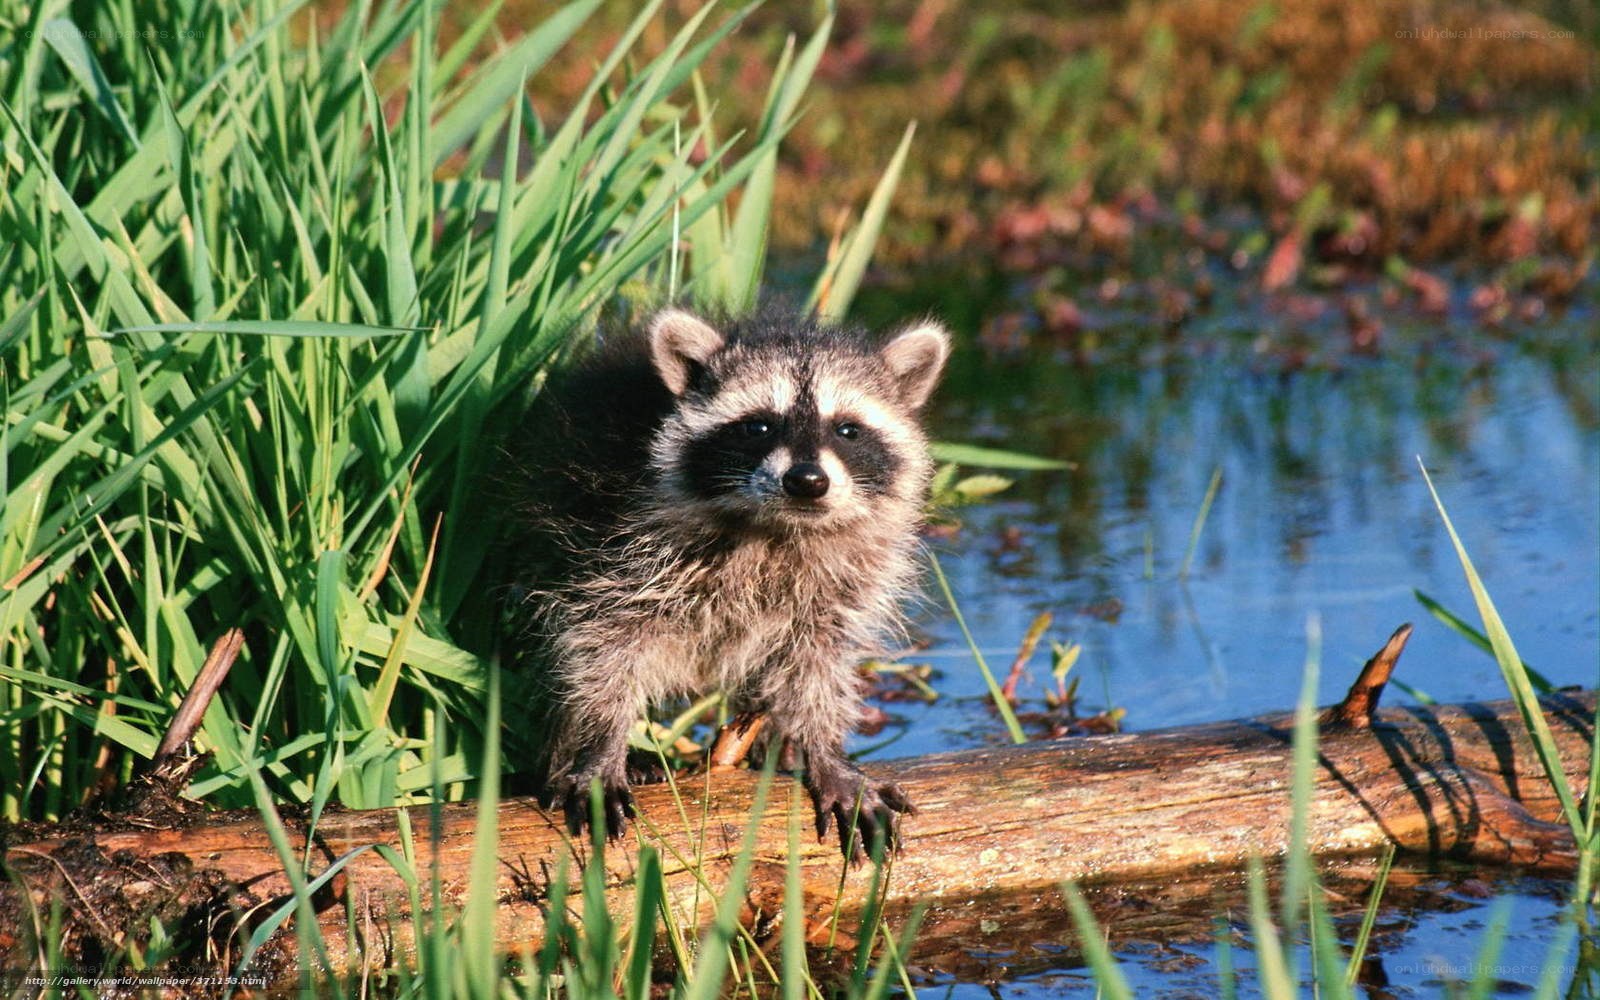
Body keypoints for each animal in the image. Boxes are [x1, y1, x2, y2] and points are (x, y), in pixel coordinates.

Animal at [511, 305, 948, 859]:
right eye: (757, 426)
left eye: (848, 430)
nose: (807, 481)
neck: (778, 527)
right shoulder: (609, 544)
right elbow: (601, 644)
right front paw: (601, 742)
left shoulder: (845, 579)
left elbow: (819, 660)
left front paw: (824, 748)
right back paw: (564, 751)